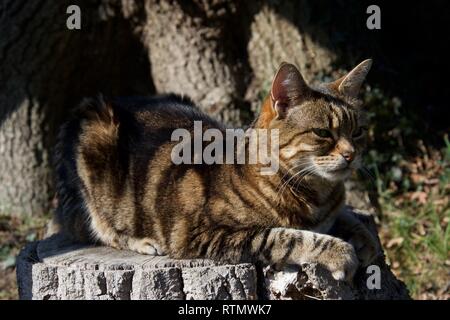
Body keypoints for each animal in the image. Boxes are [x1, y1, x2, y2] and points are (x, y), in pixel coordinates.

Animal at [54, 58, 382, 282]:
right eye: (323, 133)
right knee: (100, 228)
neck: (317, 196)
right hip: (96, 143)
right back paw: (142, 241)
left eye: (358, 132)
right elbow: (286, 236)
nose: (352, 155)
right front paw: (340, 252)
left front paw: (366, 239)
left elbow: (349, 217)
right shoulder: (202, 233)